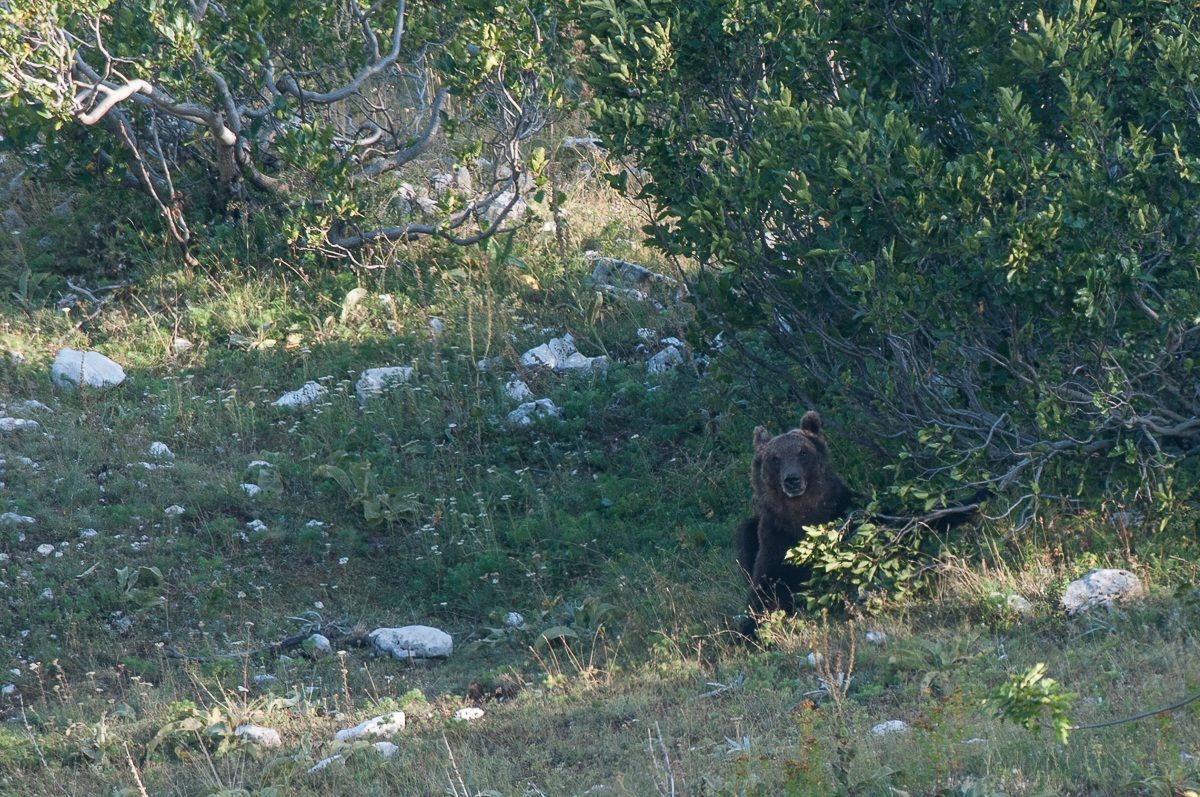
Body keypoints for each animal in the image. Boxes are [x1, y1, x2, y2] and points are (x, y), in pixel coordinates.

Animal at [735, 411, 852, 635]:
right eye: (775, 458)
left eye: (803, 452)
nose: (792, 479)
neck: (801, 516)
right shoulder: (775, 540)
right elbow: (764, 591)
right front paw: (748, 630)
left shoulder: (843, 513)